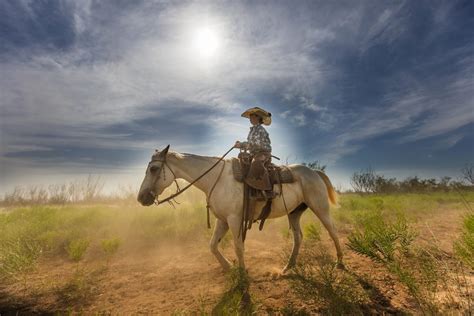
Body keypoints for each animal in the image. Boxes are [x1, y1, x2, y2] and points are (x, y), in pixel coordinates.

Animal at [137, 146, 344, 272]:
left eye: (154, 169)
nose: (141, 198)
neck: (216, 178)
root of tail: (313, 172)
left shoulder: (234, 219)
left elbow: (238, 247)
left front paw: (242, 275)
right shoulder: (222, 219)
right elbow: (212, 245)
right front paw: (229, 268)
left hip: (320, 208)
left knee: (333, 231)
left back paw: (340, 263)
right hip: (294, 213)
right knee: (298, 237)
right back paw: (289, 266)